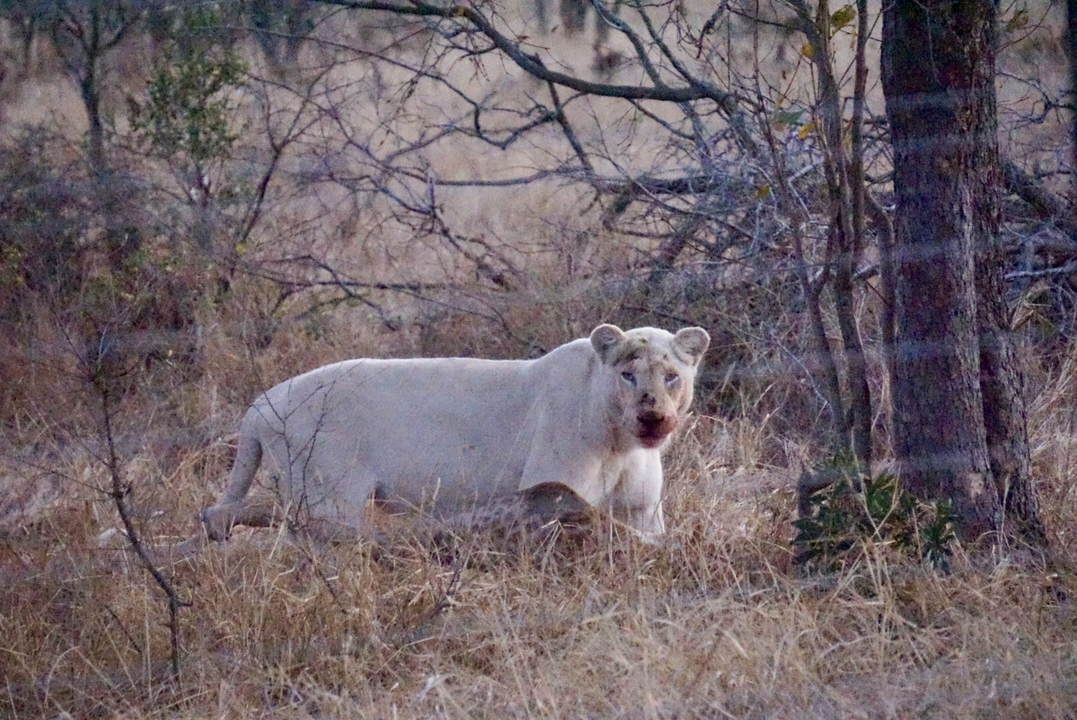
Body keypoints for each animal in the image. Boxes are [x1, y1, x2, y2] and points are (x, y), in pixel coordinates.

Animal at [182, 323, 709, 552]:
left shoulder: (643, 510)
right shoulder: (553, 496)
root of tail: (259, 405)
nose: (653, 417)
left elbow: (644, 534)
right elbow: (602, 527)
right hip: (330, 494)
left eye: (671, 376)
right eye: (627, 375)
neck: (622, 444)